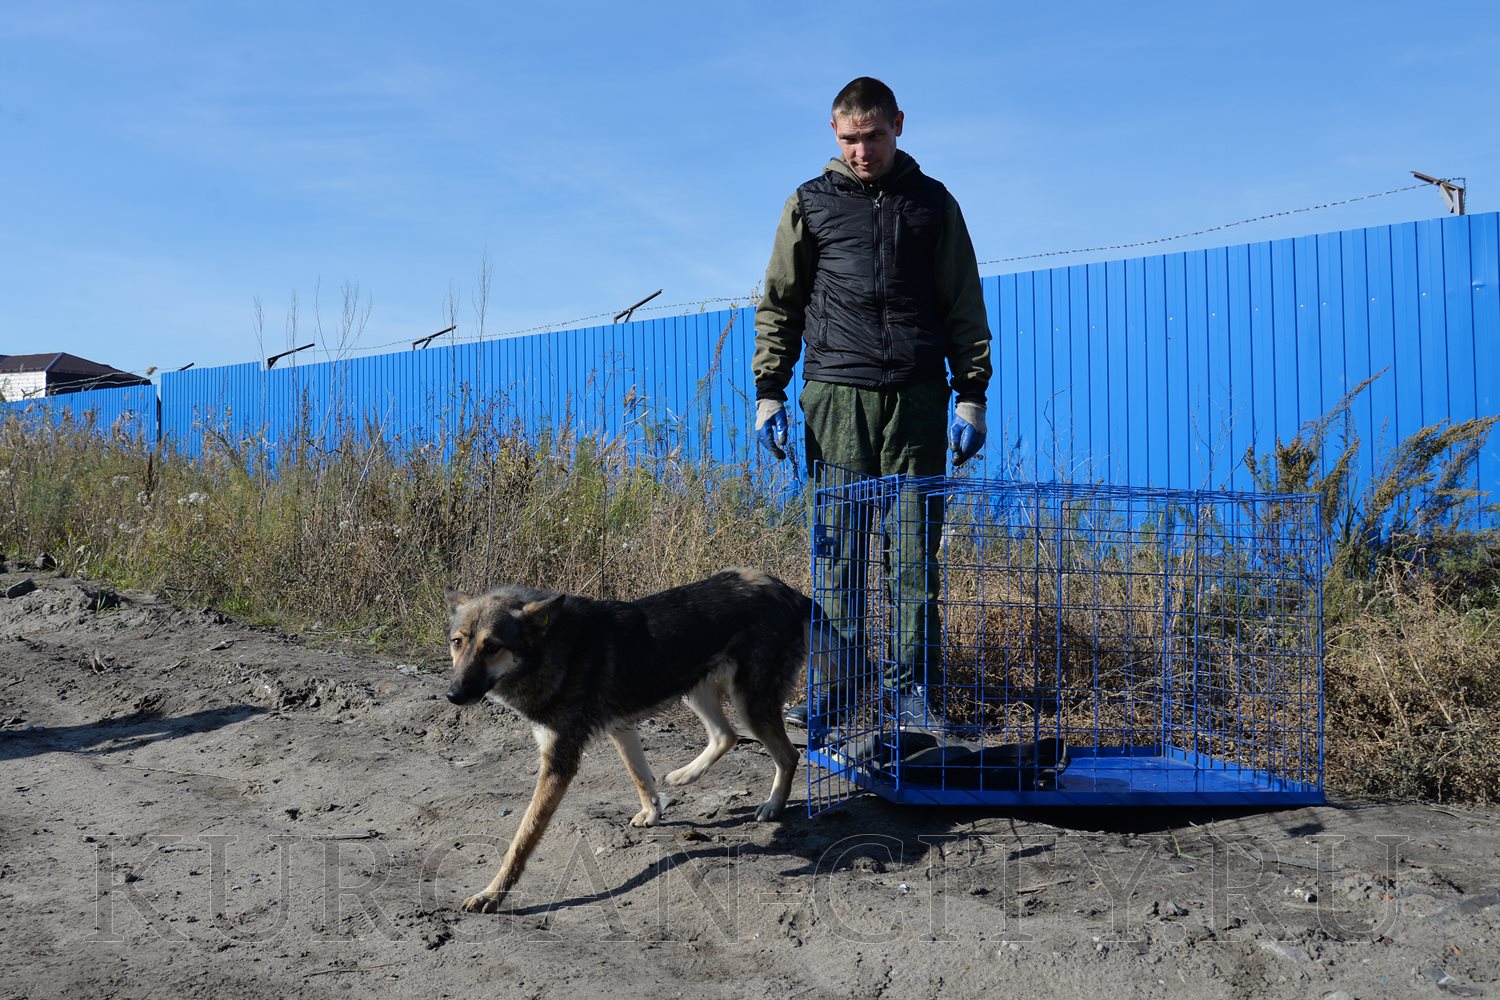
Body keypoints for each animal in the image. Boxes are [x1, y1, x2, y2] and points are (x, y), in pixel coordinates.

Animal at [441, 566, 810, 911]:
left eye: (492, 647)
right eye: (457, 642)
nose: (452, 695)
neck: (551, 649)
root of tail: (785, 590)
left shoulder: (559, 763)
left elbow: (523, 837)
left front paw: (493, 893)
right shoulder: (621, 727)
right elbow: (640, 776)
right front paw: (652, 812)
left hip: (749, 703)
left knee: (788, 754)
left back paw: (774, 805)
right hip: (696, 689)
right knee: (726, 735)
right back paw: (685, 775)